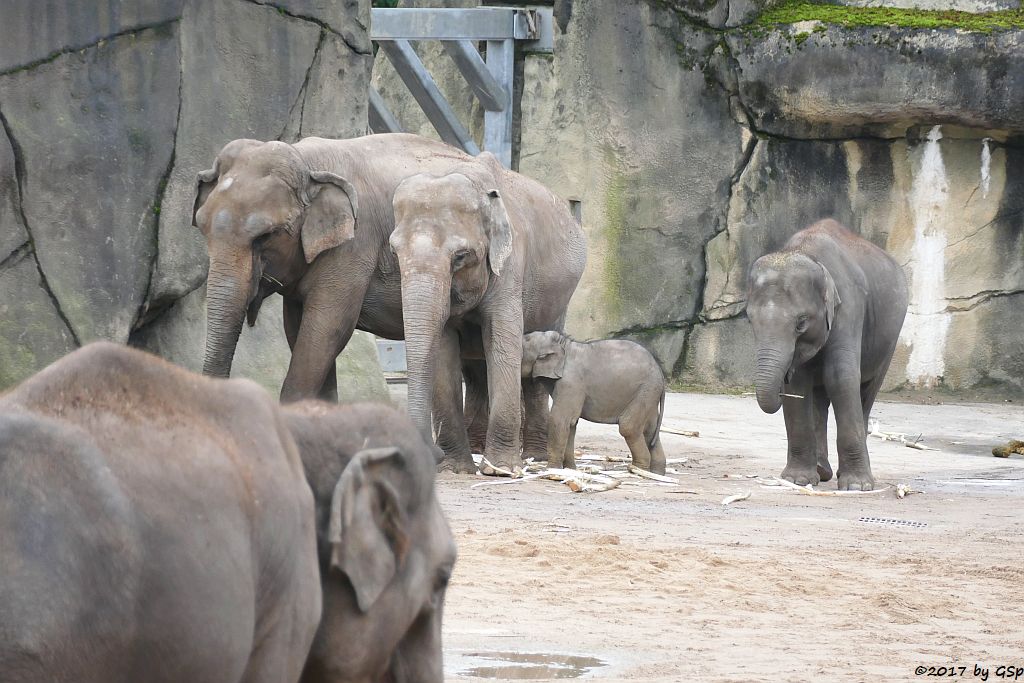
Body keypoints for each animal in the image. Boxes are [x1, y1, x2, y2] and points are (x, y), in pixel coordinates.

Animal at [191, 134, 585, 475]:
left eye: (268, 235)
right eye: (201, 226)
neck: (306, 160)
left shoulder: (353, 246)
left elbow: (327, 327)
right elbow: (302, 329)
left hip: (557, 296)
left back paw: (530, 458)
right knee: (475, 366)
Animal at [516, 331, 667, 475]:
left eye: (525, 343)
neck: (564, 344)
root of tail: (660, 372)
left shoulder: (571, 382)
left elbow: (559, 420)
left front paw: (552, 469)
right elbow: (571, 424)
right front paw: (570, 469)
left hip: (645, 390)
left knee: (629, 427)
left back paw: (637, 471)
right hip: (649, 394)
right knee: (650, 430)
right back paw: (657, 473)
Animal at [745, 219, 913, 491]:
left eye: (801, 322)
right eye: (749, 319)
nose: (782, 379)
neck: (806, 251)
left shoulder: (850, 306)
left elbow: (840, 378)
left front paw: (856, 486)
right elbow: (800, 385)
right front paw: (797, 480)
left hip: (890, 339)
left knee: (866, 391)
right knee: (819, 397)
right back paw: (822, 471)